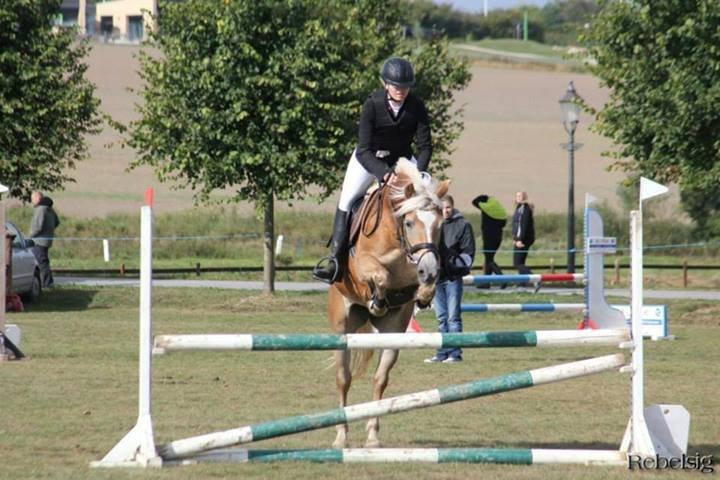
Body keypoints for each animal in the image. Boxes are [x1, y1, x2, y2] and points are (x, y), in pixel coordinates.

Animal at [328, 159, 450, 448]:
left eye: (441, 224)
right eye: (409, 222)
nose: (429, 271)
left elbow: (414, 285)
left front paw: (425, 294)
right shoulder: (363, 265)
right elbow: (379, 274)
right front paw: (378, 297)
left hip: (393, 331)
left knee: (380, 378)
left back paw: (373, 436)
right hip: (342, 326)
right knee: (343, 378)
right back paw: (341, 436)